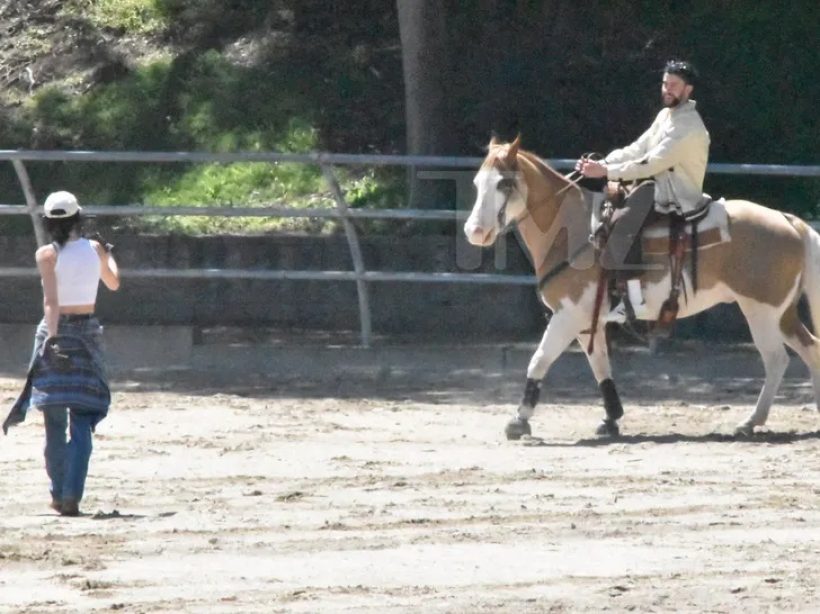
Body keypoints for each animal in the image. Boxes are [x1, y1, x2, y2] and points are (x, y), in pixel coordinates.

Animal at [462, 137, 820, 440]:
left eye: (503, 183)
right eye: (477, 183)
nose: (474, 232)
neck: (572, 230)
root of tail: (790, 221)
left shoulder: (568, 315)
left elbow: (539, 360)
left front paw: (518, 421)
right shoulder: (588, 320)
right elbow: (600, 365)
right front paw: (611, 419)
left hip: (762, 312)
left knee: (776, 360)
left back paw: (750, 421)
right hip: (781, 314)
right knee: (810, 349)